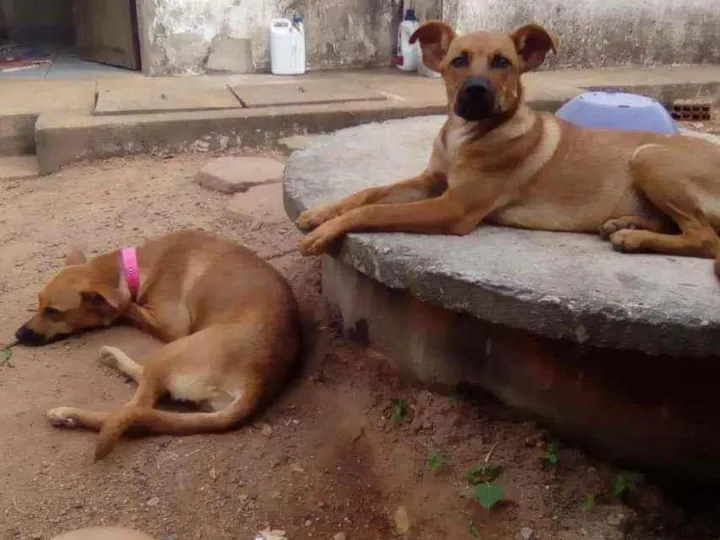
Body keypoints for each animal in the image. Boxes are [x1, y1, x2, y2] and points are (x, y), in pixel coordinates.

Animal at [15, 229, 300, 460]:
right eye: (39, 303)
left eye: (53, 312)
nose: (18, 334)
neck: (136, 268)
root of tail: (257, 382)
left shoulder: (171, 326)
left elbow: (125, 306)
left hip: (170, 351)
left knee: (133, 408)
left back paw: (68, 413)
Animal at [295, 21, 720, 277]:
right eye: (458, 60)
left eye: (503, 62)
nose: (475, 91)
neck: (467, 135)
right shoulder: (432, 181)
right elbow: (370, 193)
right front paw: (321, 212)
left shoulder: (453, 207)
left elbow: (376, 210)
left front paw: (327, 230)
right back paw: (626, 225)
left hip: (649, 156)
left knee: (706, 238)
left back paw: (634, 238)